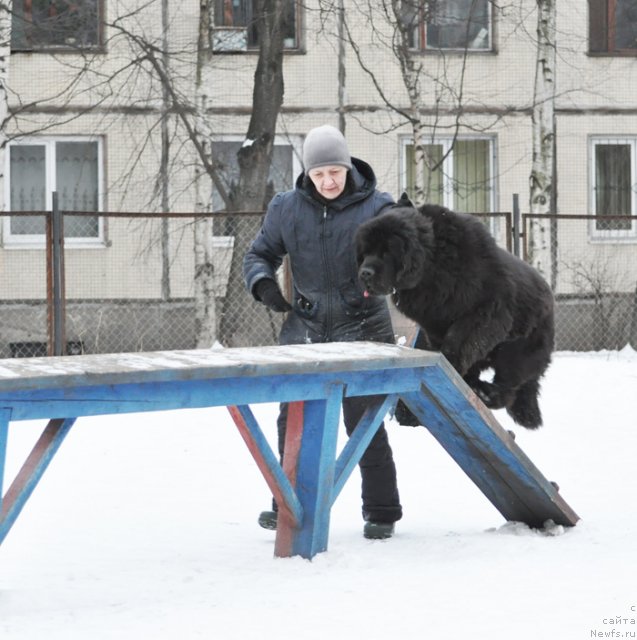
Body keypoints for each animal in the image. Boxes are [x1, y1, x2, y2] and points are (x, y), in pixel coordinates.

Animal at [356, 192, 556, 428]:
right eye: (366, 252)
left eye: (386, 252)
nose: (365, 273)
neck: (432, 264)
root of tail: (549, 297)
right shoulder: (433, 324)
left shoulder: (484, 311)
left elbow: (459, 340)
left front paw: (449, 361)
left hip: (517, 351)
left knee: (510, 383)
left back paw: (487, 393)